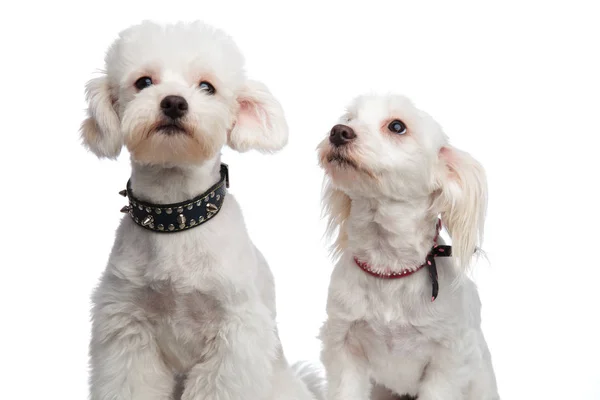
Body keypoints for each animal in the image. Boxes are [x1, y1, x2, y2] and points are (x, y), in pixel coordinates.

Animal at [81, 21, 324, 400]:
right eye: (143, 82)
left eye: (207, 87)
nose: (174, 102)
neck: (177, 217)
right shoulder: (127, 324)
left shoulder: (234, 335)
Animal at [316, 94, 500, 400]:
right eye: (350, 118)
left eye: (397, 126)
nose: (338, 132)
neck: (388, 266)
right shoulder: (343, 344)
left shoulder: (447, 362)